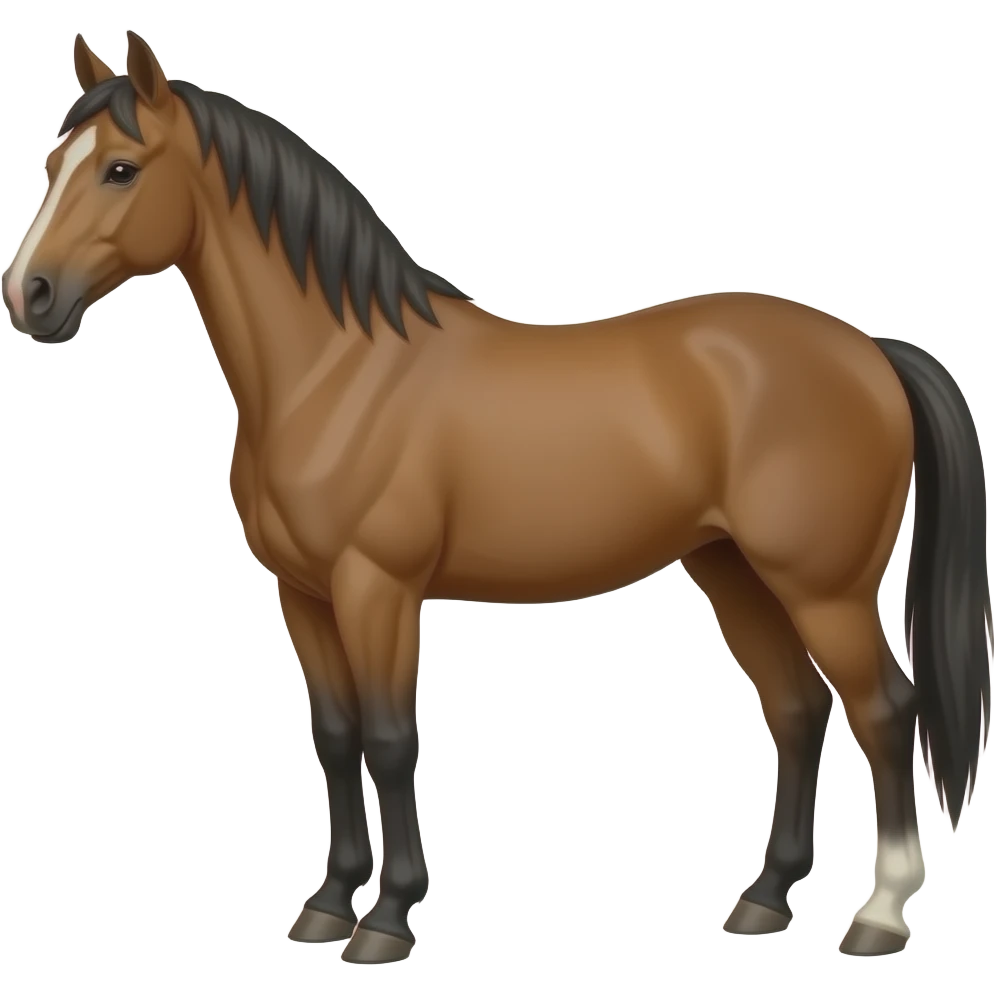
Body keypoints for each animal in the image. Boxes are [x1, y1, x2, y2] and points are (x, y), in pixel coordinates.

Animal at [3, 31, 990, 964]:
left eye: (121, 168)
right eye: (54, 165)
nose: (30, 295)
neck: (336, 371)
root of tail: (869, 351)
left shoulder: (377, 588)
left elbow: (390, 738)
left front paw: (386, 919)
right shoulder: (304, 592)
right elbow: (335, 735)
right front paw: (327, 903)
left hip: (822, 589)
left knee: (884, 711)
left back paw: (879, 914)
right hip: (733, 571)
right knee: (795, 711)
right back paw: (763, 899)